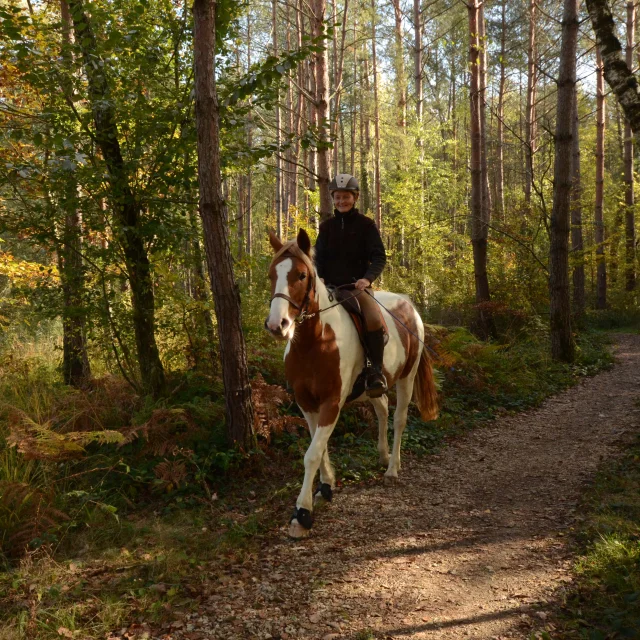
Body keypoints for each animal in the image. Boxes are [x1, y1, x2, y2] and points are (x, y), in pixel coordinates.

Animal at [265, 229, 439, 539]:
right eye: (272, 274)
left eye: (301, 275)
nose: (277, 325)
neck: (315, 342)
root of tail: (408, 305)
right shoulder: (306, 402)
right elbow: (318, 446)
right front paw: (325, 487)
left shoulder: (331, 403)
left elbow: (312, 454)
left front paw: (302, 514)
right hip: (374, 386)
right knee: (381, 408)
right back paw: (382, 455)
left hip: (406, 378)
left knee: (399, 418)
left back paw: (392, 468)